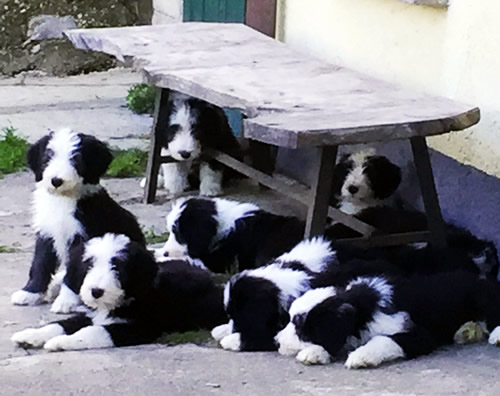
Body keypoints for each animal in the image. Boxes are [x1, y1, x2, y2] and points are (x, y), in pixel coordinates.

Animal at [10, 128, 145, 314]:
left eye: (76, 159)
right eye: (48, 157)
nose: (56, 181)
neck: (63, 199)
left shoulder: (83, 236)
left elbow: (74, 272)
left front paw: (65, 301)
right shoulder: (46, 234)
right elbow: (40, 264)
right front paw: (29, 293)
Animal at [10, 234, 226, 352]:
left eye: (117, 268)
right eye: (89, 265)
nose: (96, 291)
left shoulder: (139, 328)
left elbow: (95, 331)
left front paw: (63, 342)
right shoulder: (92, 315)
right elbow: (60, 324)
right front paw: (31, 335)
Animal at [64, 21, 478, 248]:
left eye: (195, 129)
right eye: (176, 130)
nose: (183, 153)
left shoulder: (215, 139)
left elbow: (211, 165)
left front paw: (209, 190)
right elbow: (171, 166)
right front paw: (177, 185)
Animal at [156, 197, 304, 272]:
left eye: (178, 233)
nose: (166, 252)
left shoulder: (223, 260)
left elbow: (185, 259)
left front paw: (162, 259)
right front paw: (157, 252)